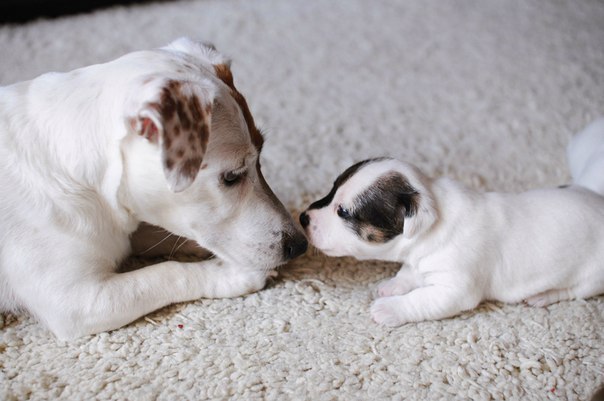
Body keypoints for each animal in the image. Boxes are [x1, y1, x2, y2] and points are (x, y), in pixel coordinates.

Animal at [0, 37, 310, 338]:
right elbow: (166, 272)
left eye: (261, 155)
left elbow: (154, 235)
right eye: (231, 177)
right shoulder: (76, 301)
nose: (301, 245)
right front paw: (231, 273)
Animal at [302, 120, 604, 326]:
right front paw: (393, 285)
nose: (303, 217)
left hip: (591, 277)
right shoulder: (418, 261)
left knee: (574, 291)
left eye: (343, 211)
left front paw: (388, 308)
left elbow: (419, 298)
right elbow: (409, 273)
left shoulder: (455, 289)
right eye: (332, 190)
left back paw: (544, 295)